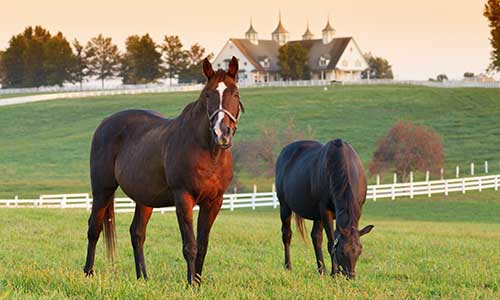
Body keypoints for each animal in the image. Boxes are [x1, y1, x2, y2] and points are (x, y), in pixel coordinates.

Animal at [84, 56, 244, 286]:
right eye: (208, 95)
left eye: (235, 93)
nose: (222, 133)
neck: (209, 152)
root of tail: (105, 123)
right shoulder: (183, 198)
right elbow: (190, 245)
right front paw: (190, 285)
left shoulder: (214, 202)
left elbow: (202, 246)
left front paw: (198, 283)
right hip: (102, 190)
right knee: (94, 228)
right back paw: (88, 272)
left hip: (144, 198)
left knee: (137, 233)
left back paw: (143, 277)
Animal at [276, 138, 374, 278]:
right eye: (342, 252)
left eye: (360, 251)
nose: (350, 276)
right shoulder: (325, 211)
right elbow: (331, 242)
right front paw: (334, 273)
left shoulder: (357, 209)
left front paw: (335, 271)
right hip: (284, 206)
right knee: (287, 235)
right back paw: (288, 266)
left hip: (316, 215)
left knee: (316, 237)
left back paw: (321, 270)